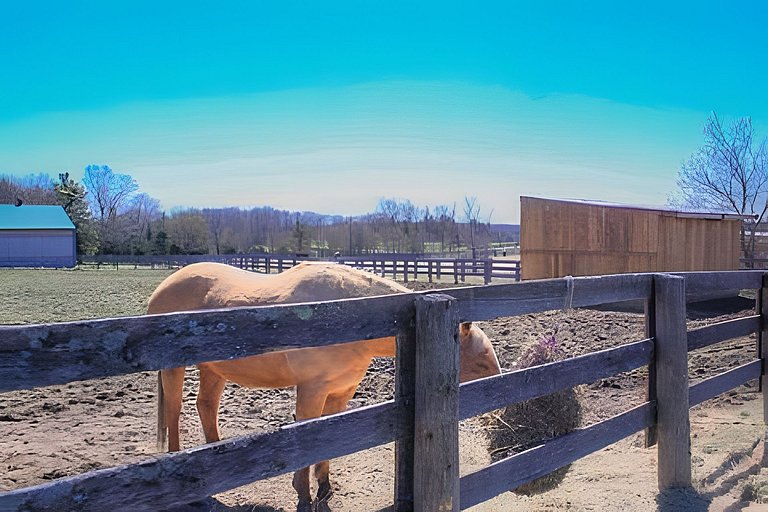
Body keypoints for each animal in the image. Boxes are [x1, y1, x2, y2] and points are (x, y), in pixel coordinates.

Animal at [148, 262, 504, 510]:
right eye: (482, 363)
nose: (501, 403)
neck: (346, 315)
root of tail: (163, 286)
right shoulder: (312, 391)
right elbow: (308, 438)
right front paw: (304, 495)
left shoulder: (340, 393)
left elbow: (328, 441)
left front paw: (324, 486)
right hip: (174, 369)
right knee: (175, 411)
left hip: (214, 370)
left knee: (206, 407)